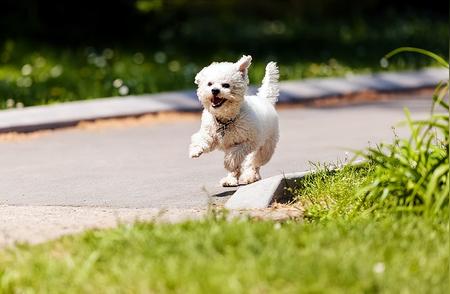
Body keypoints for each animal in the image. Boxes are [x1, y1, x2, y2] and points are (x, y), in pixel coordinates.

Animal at [188, 55, 280, 186]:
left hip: (265, 149)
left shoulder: (248, 142)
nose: (214, 90)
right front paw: (196, 150)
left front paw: (229, 162)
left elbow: (235, 154)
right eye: (209, 84)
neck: (226, 121)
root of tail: (264, 99)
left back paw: (250, 176)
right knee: (242, 166)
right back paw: (230, 179)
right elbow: (202, 139)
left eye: (226, 85)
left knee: (254, 162)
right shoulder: (210, 133)